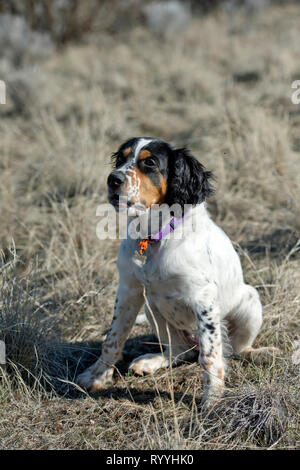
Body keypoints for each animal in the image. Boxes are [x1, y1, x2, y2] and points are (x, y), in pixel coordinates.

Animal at [76, 138, 278, 406]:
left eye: (150, 162)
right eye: (120, 159)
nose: (113, 179)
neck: (154, 237)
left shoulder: (204, 300)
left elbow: (210, 356)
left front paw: (212, 400)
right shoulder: (129, 290)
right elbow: (113, 339)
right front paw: (96, 376)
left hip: (250, 302)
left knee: (234, 350)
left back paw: (262, 354)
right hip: (152, 307)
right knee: (181, 351)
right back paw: (150, 361)